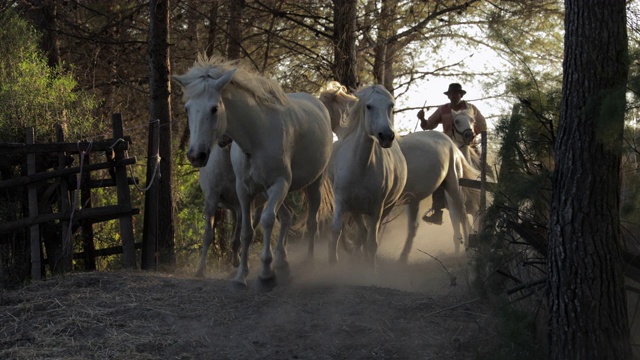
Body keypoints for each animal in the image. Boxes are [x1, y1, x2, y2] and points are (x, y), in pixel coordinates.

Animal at [175, 56, 336, 292]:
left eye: (214, 108)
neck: (257, 137)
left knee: (311, 222)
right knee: (287, 217)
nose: (196, 155)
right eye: (187, 109)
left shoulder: (279, 184)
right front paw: (241, 276)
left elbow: (267, 222)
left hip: (313, 184)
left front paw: (266, 275)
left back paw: (307, 262)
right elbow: (246, 232)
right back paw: (283, 263)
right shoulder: (244, 192)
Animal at [328, 83, 408, 264]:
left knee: (367, 235)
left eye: (391, 106)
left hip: (384, 208)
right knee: (362, 233)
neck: (361, 168)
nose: (387, 136)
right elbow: (336, 232)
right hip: (356, 209)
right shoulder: (342, 200)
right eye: (369, 106)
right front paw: (333, 263)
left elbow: (372, 243)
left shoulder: (377, 207)